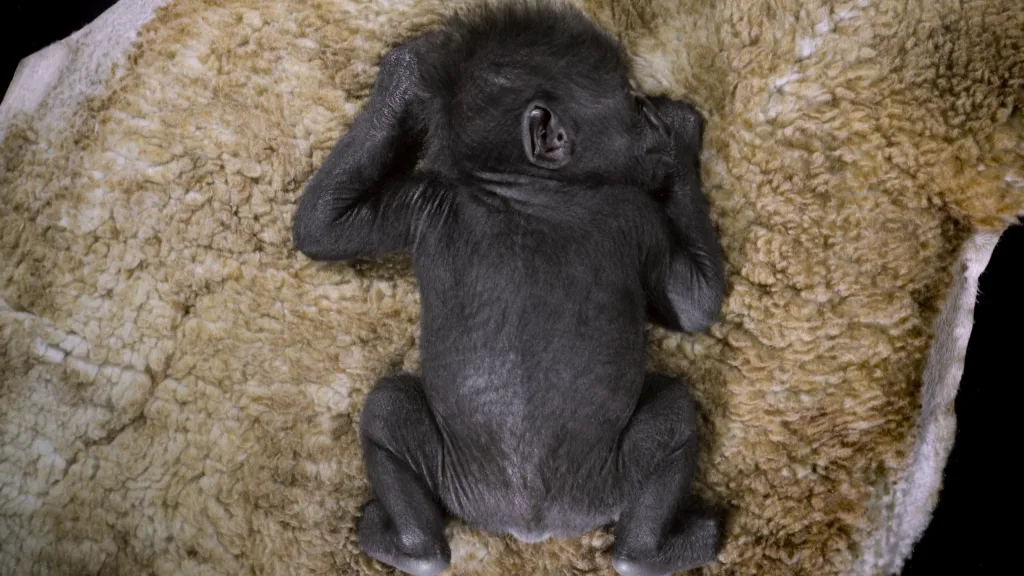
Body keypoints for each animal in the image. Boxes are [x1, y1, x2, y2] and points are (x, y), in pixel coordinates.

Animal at [291, 2, 727, 575]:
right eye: (631, 107)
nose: (650, 114)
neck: (524, 186)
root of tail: (530, 523)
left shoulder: (425, 199)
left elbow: (323, 225)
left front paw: (409, 70)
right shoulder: (634, 213)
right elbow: (696, 304)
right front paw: (678, 134)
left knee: (386, 417)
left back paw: (412, 549)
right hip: (600, 483)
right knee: (673, 418)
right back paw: (658, 549)